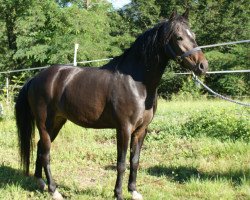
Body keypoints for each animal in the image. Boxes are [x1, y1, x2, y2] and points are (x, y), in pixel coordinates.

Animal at [15, 10, 207, 199]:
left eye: (193, 35)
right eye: (179, 37)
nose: (203, 66)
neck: (137, 83)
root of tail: (36, 78)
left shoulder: (141, 130)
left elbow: (134, 161)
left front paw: (133, 191)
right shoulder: (124, 128)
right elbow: (121, 163)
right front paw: (118, 194)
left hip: (57, 122)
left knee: (40, 147)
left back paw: (41, 183)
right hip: (44, 124)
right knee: (46, 153)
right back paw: (54, 190)